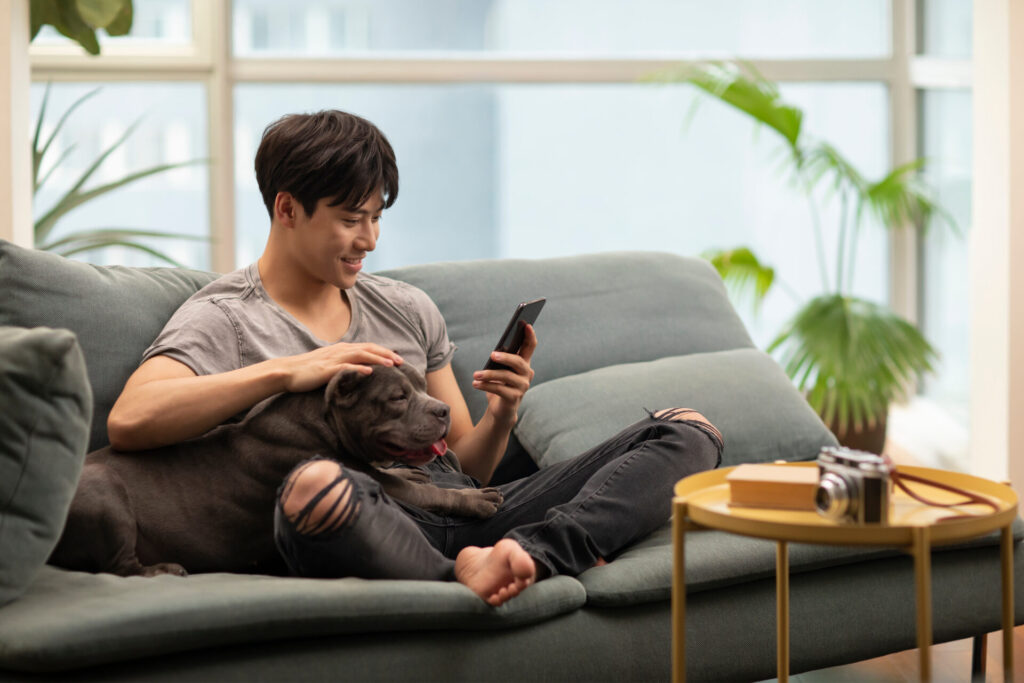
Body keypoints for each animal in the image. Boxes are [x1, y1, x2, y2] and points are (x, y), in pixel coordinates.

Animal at [48, 366, 503, 581]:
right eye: (397, 397)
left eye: (423, 387)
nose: (443, 409)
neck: (323, 418)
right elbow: (416, 491)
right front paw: (475, 499)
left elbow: (406, 480)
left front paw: (417, 475)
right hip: (103, 495)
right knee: (117, 565)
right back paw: (161, 570)